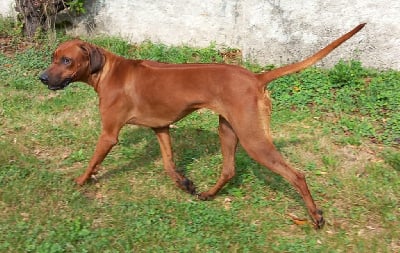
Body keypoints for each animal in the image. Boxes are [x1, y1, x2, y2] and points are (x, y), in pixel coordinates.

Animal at [39, 24, 366, 229]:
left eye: (66, 60)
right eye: (53, 58)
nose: (41, 78)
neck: (108, 71)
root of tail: (256, 77)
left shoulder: (109, 135)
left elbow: (93, 161)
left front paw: (80, 181)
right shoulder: (161, 128)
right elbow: (169, 164)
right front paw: (184, 183)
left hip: (253, 139)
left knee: (296, 175)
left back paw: (316, 217)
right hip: (228, 130)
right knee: (230, 169)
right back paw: (208, 194)